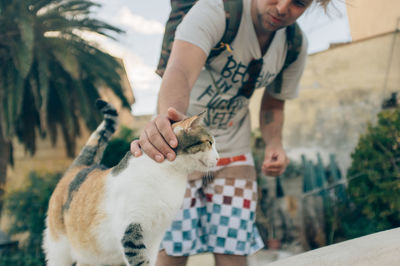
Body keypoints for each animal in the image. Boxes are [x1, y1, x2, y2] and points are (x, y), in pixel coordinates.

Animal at [41, 100, 219, 266]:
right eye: (209, 143)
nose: (218, 158)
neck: (169, 174)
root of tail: (80, 167)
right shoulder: (130, 228)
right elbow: (140, 260)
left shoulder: (155, 237)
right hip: (59, 247)